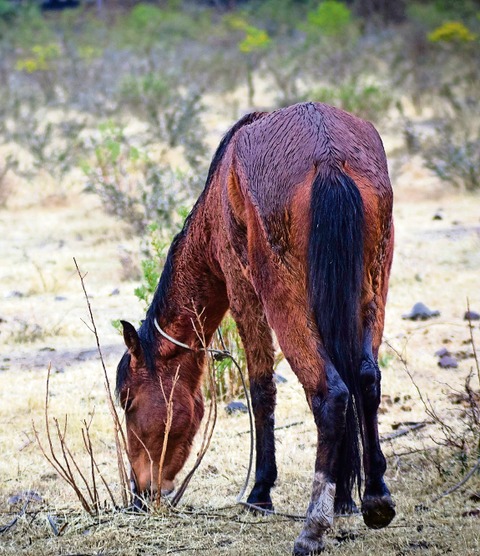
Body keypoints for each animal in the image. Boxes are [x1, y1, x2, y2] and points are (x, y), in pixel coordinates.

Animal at [115, 102, 394, 552]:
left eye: (127, 400)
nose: (139, 495)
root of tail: (328, 158)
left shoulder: (244, 293)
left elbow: (261, 388)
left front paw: (261, 492)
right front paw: (346, 498)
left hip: (283, 298)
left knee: (331, 393)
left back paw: (312, 527)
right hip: (372, 284)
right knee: (364, 379)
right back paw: (375, 498)